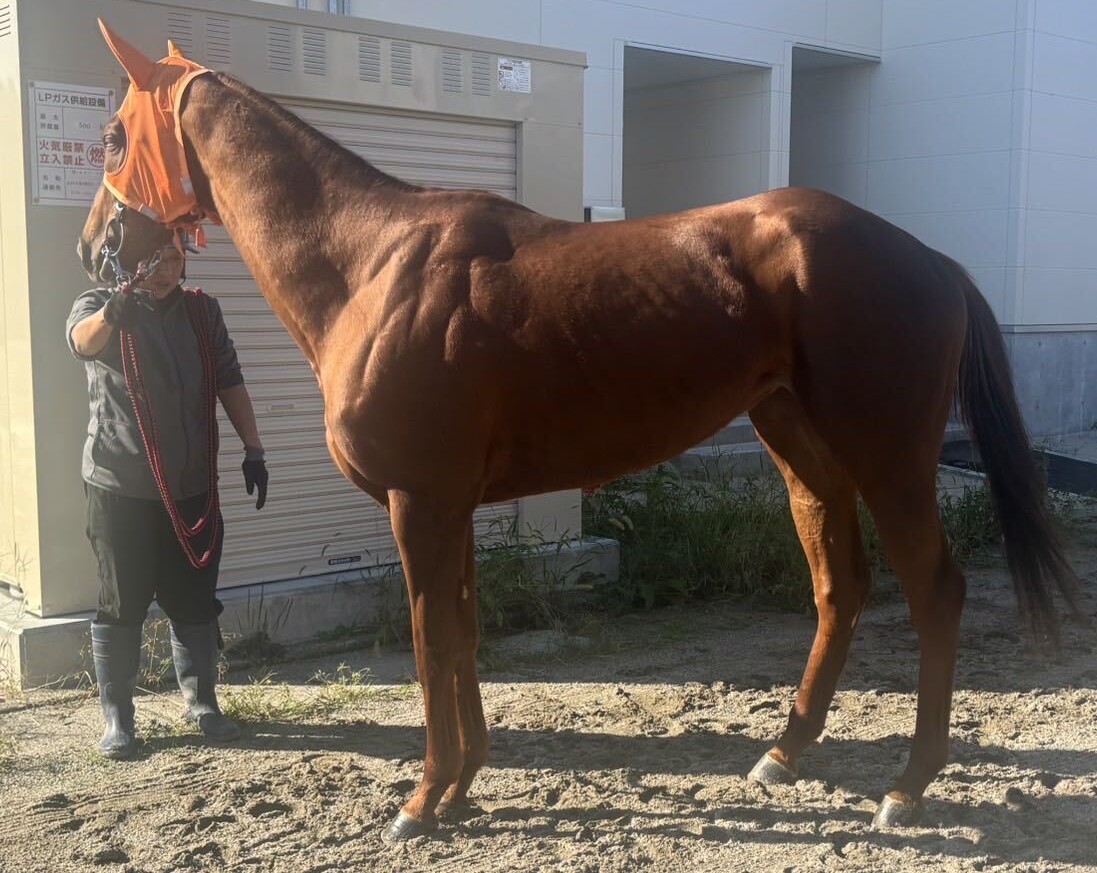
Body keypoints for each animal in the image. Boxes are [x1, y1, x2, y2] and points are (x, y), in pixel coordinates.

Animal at [79, 22, 1081, 840]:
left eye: (114, 136)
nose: (93, 250)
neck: (372, 263)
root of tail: (931, 257)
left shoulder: (418, 503)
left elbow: (428, 640)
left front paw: (422, 800)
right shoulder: (452, 505)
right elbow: (463, 632)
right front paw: (462, 785)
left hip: (889, 455)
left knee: (934, 590)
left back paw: (907, 786)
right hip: (801, 448)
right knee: (841, 585)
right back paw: (783, 753)